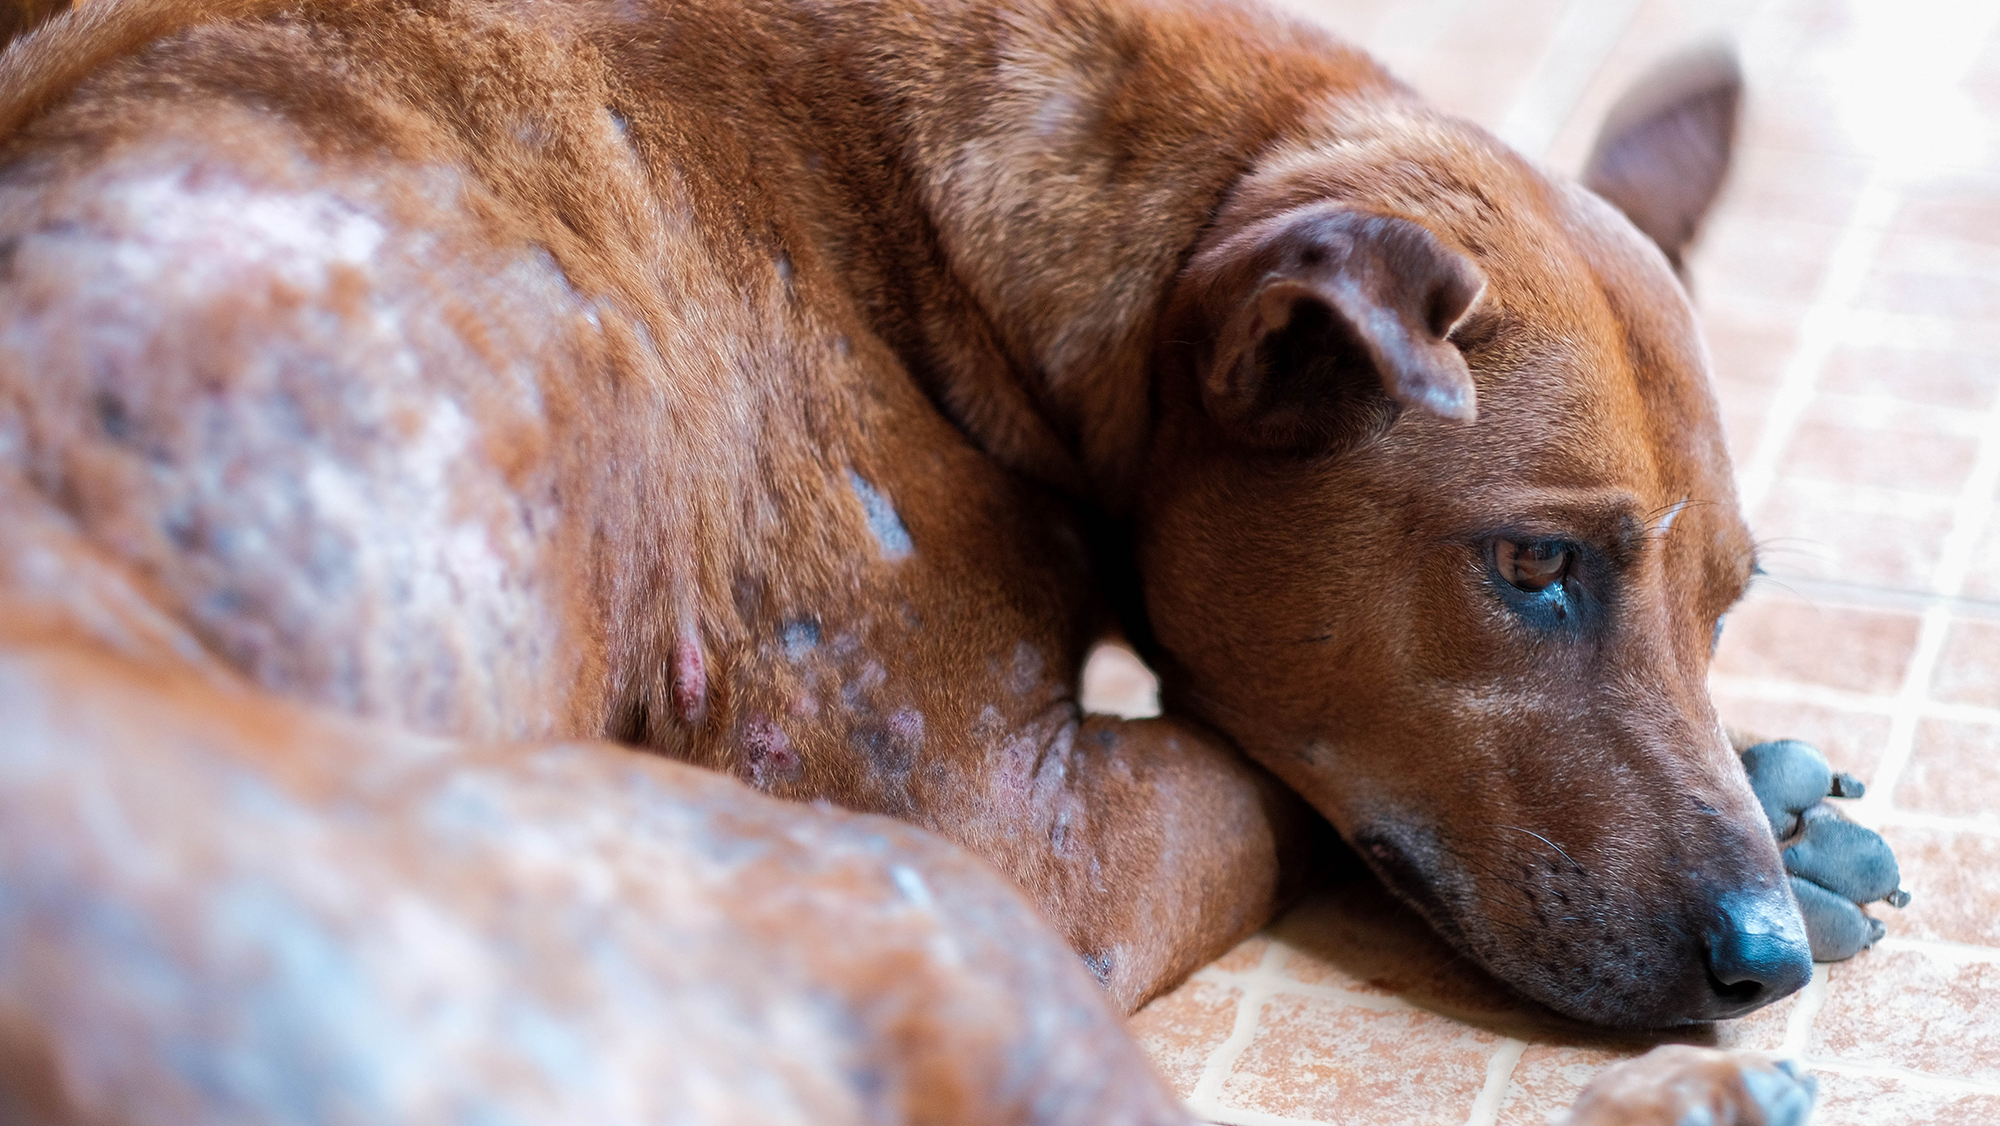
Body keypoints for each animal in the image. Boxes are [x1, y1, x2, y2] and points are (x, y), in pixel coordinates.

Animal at [0, 0, 1904, 1120]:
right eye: (1529, 566)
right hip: (906, 907)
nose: (1766, 961)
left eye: (1728, 600)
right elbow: (1258, 781)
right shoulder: (1020, 833)